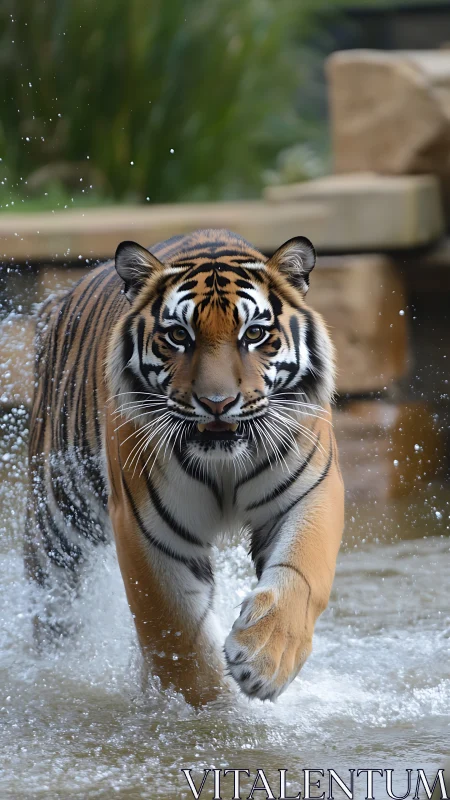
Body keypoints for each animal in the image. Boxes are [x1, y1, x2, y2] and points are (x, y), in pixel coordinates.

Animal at [25, 228, 344, 706]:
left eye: (254, 334)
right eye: (178, 335)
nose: (217, 403)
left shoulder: (310, 493)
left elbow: (301, 573)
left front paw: (264, 660)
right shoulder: (147, 527)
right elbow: (175, 631)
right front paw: (207, 711)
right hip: (59, 522)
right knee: (55, 607)